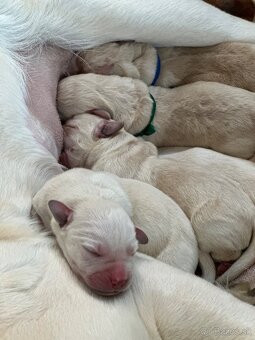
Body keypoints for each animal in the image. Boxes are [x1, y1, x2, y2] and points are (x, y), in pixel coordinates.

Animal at [60, 112, 255, 284]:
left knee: (230, 253)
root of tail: (252, 211)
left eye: (71, 127)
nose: (62, 121)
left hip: (206, 227)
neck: (114, 145)